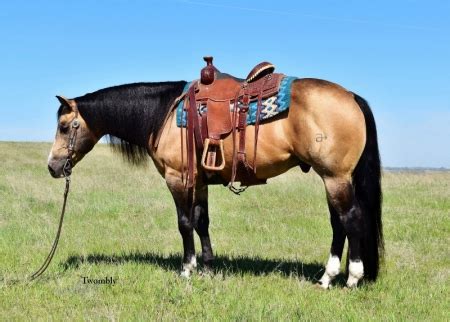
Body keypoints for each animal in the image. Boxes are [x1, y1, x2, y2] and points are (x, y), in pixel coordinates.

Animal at [47, 56, 382, 288]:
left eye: (64, 126)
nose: (52, 166)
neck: (164, 115)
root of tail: (351, 96)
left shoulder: (178, 178)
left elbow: (184, 223)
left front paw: (186, 269)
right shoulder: (199, 181)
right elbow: (201, 221)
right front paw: (207, 266)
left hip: (335, 177)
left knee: (350, 219)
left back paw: (349, 278)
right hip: (331, 178)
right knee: (338, 224)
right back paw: (327, 277)